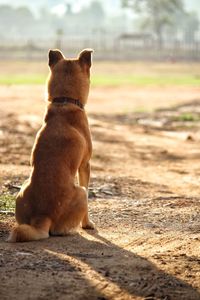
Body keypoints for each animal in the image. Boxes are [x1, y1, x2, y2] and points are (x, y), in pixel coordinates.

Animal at [7, 48, 94, 243]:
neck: (64, 101)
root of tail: (43, 216)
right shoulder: (85, 165)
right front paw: (88, 224)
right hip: (82, 193)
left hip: (22, 189)